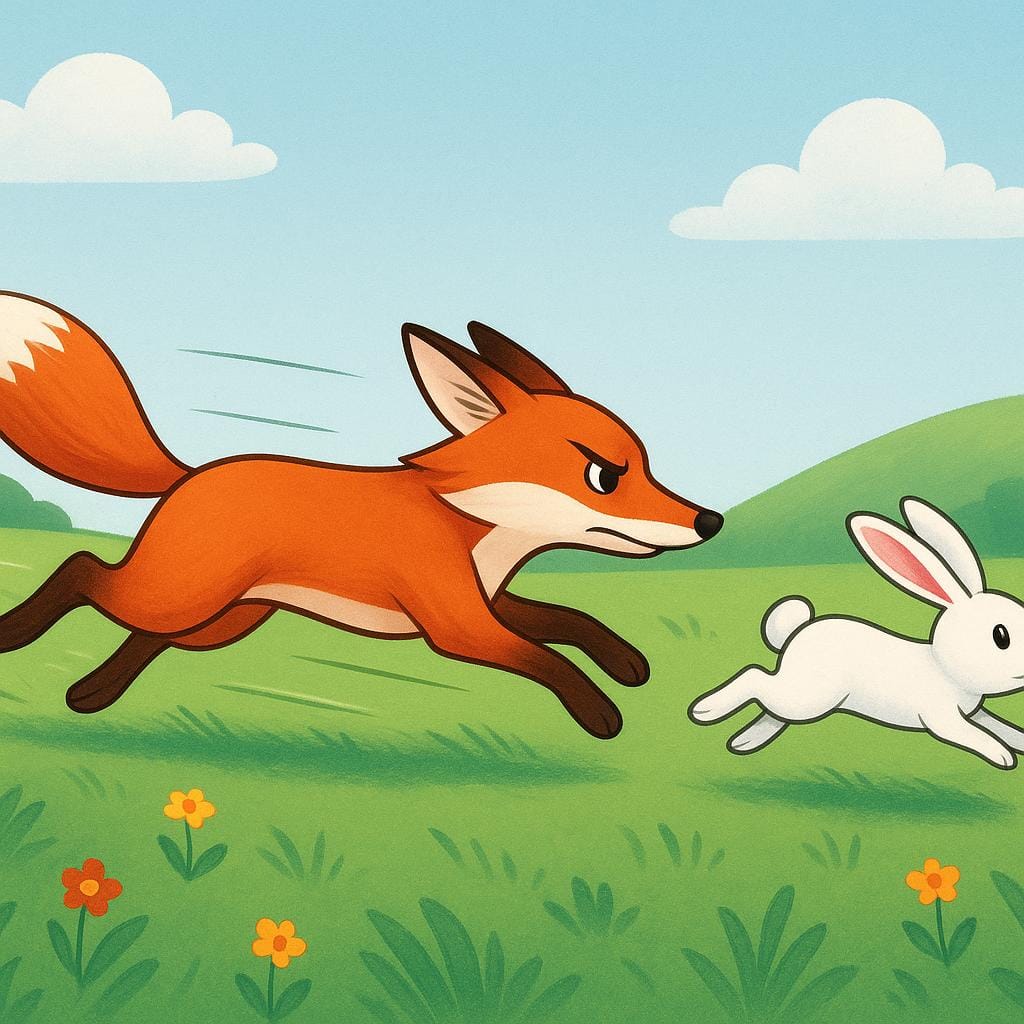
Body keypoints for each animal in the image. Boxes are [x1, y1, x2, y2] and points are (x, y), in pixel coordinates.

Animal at [0, 291, 723, 738]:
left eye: (648, 466)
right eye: (606, 476)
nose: (709, 522)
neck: (471, 525)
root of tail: (191, 472)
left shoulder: (487, 602)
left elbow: (571, 621)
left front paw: (626, 662)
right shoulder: (459, 626)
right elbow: (546, 657)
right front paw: (598, 711)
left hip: (220, 618)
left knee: (147, 634)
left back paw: (91, 693)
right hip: (177, 594)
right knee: (82, 569)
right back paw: (16, 634)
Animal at [689, 496, 1024, 769]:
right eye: (1001, 636)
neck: (943, 667)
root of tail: (797, 633)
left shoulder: (974, 713)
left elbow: (996, 724)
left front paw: (1018, 740)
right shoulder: (944, 719)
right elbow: (974, 735)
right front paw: (1002, 755)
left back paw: (746, 741)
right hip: (808, 696)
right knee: (754, 678)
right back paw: (706, 709)